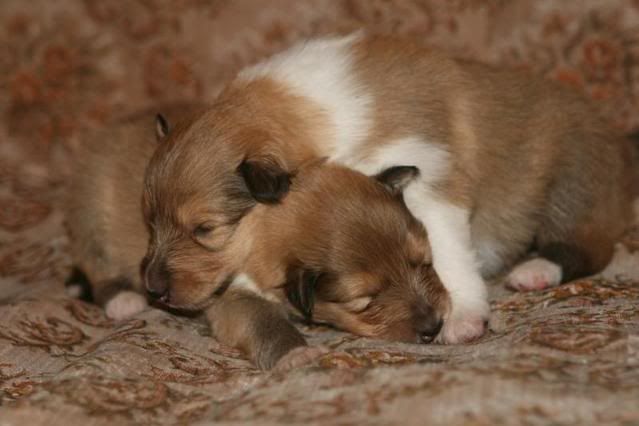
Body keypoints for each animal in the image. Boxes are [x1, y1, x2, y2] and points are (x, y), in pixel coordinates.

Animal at [142, 34, 636, 346]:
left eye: (204, 230)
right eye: (149, 222)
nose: (152, 290)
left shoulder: (429, 172)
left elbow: (445, 248)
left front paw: (461, 315)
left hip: (570, 180)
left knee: (588, 246)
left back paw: (534, 270)